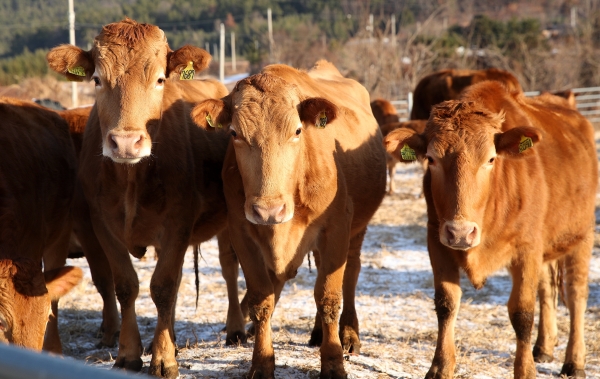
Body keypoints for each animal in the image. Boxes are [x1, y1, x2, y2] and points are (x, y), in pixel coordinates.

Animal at [46, 19, 241, 378]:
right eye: (97, 79)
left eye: (160, 79)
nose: (126, 142)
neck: (130, 180)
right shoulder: (101, 225)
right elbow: (126, 285)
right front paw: (130, 353)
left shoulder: (178, 224)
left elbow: (162, 286)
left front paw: (164, 358)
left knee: (228, 268)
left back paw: (235, 328)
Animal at [192, 61, 390, 379]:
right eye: (234, 133)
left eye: (297, 130)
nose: (268, 211)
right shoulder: (241, 232)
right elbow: (261, 300)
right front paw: (261, 363)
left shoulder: (337, 228)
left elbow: (329, 297)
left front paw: (333, 363)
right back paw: (318, 333)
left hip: (357, 230)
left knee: (351, 272)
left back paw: (348, 334)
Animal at [384, 81, 596, 379]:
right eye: (431, 159)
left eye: (491, 159)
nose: (461, 232)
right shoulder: (437, 242)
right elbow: (446, 304)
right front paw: (440, 367)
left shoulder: (527, 248)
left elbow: (522, 313)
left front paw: (525, 371)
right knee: (546, 290)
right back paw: (544, 347)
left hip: (582, 235)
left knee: (577, 294)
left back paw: (575, 361)